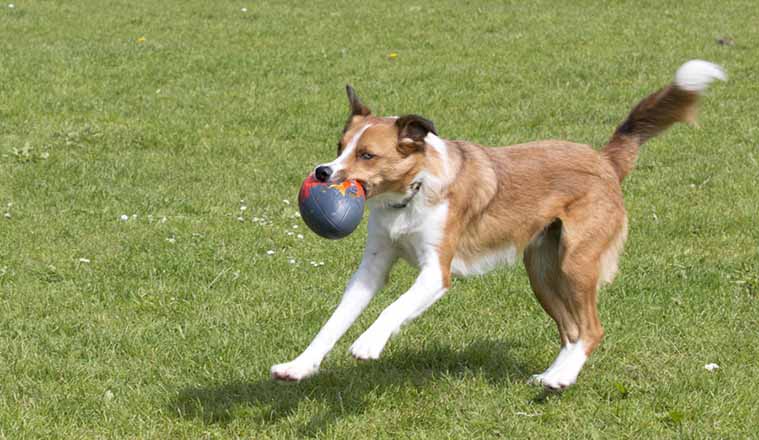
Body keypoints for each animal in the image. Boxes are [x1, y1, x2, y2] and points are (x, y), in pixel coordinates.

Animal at [270, 60, 728, 390]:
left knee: (592, 329)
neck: (409, 195)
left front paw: (368, 342)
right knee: (572, 330)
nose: (323, 173)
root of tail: (604, 159)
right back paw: (553, 377)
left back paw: (563, 377)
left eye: (366, 155)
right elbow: (334, 322)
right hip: (541, 269)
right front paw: (299, 366)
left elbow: (393, 308)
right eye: (339, 147)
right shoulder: (371, 269)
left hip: (576, 262)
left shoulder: (435, 273)